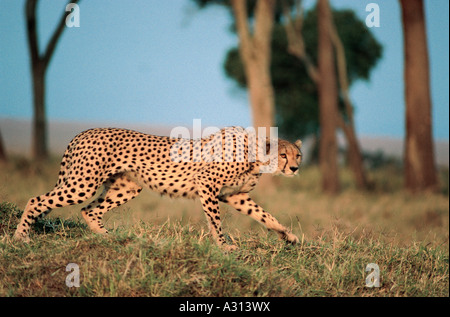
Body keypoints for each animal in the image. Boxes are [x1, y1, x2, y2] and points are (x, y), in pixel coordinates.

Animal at [13, 126, 302, 249]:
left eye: (298, 155)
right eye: (283, 155)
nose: (295, 168)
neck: (255, 156)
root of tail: (84, 132)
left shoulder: (236, 195)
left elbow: (265, 215)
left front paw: (288, 236)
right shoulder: (207, 185)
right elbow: (215, 221)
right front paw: (224, 246)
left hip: (127, 187)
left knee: (89, 210)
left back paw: (109, 238)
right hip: (82, 183)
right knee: (36, 200)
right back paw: (20, 237)